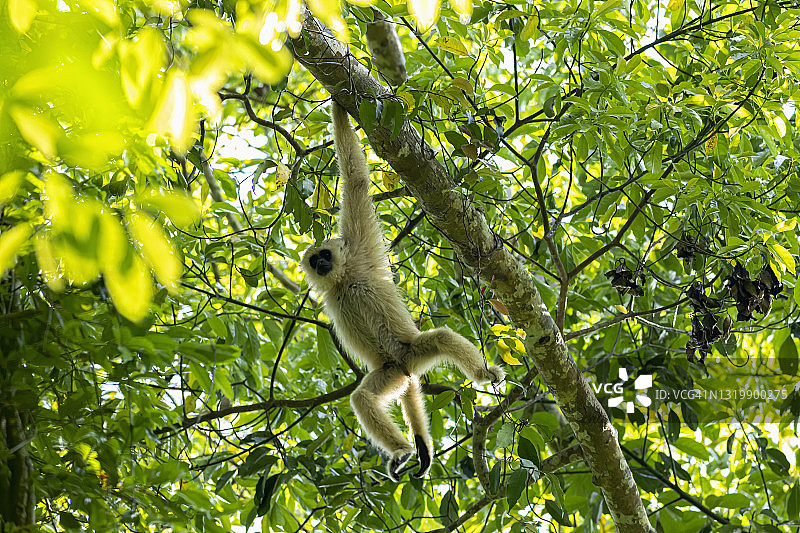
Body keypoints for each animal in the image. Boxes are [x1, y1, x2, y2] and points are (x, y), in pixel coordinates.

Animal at [300, 102, 504, 481]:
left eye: (326, 255)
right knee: (371, 398)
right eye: (315, 259)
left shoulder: (360, 248)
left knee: (439, 339)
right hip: (393, 372)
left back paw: (483, 376)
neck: (345, 280)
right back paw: (410, 448)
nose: (320, 263)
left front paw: (338, 104)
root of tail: (404, 362)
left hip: (411, 352)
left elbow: (355, 177)